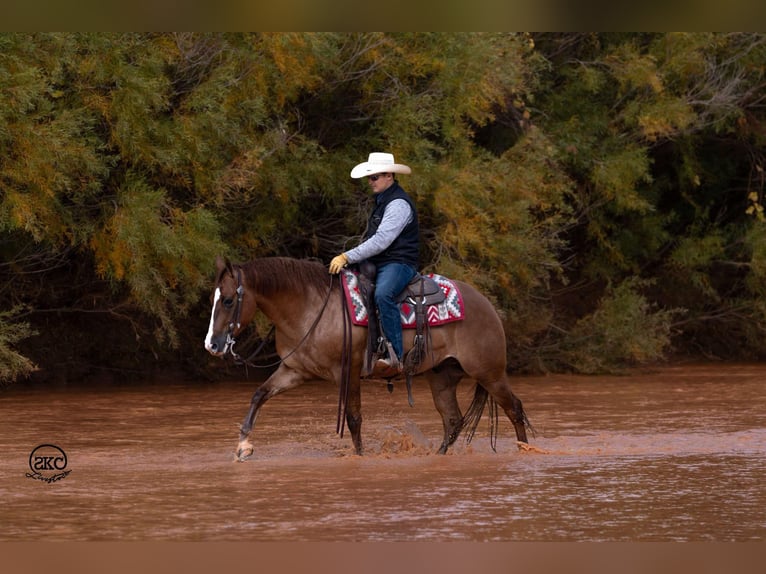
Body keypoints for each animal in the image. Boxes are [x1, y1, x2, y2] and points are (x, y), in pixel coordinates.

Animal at [204, 256, 528, 464]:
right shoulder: (295, 370)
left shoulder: (348, 372)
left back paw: (526, 451)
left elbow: (354, 419)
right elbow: (259, 395)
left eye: (229, 300)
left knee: (514, 408)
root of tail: (486, 304)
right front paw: (243, 446)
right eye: (214, 298)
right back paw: (437, 456)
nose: (212, 344)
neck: (310, 306)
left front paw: (359, 456)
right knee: (453, 420)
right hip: (442, 377)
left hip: (489, 373)